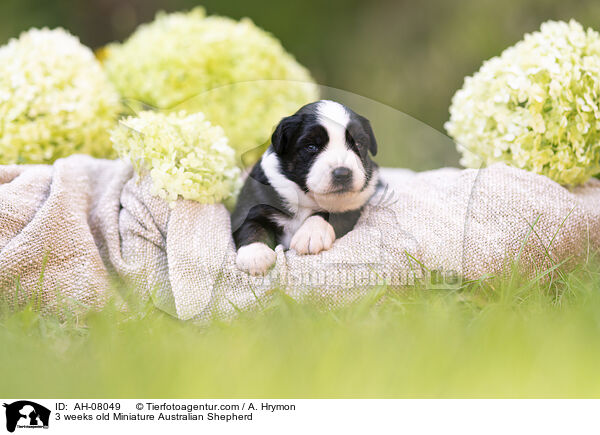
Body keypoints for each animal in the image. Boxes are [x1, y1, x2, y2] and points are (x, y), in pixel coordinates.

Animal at [231, 100, 378, 274]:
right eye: (311, 147)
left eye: (358, 143)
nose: (342, 173)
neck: (305, 197)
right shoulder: (252, 201)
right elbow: (250, 225)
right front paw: (255, 255)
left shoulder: (353, 207)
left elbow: (327, 213)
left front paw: (311, 234)